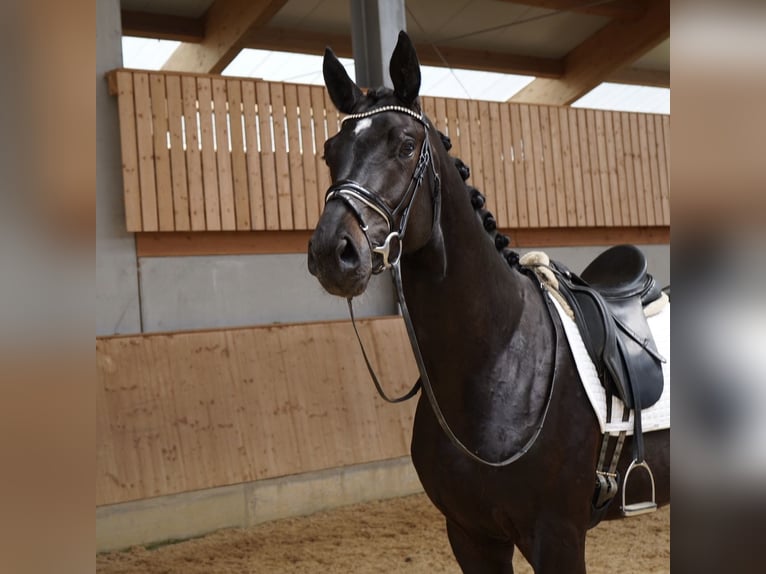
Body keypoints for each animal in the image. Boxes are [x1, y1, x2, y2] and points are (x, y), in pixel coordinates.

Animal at [307, 31, 669, 573]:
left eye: (405, 145)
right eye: (331, 152)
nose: (333, 250)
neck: (498, 360)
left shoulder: (556, 538)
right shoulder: (471, 536)